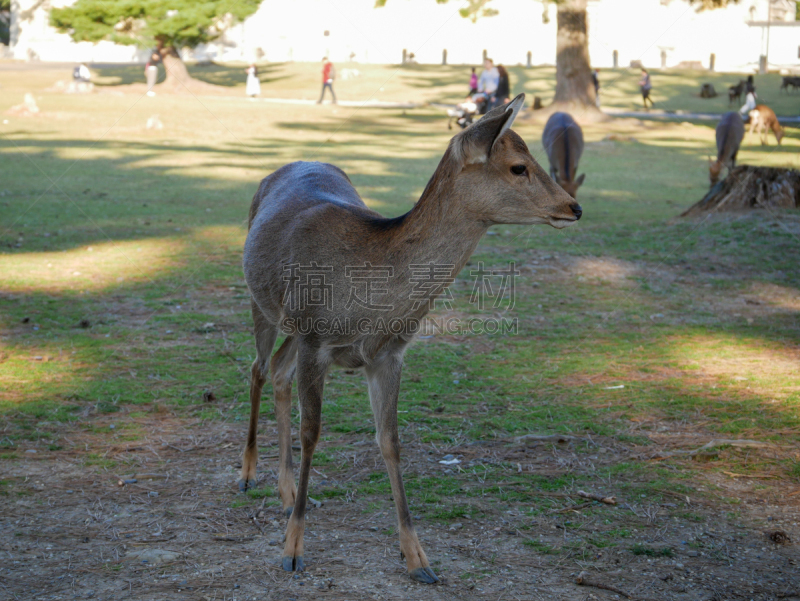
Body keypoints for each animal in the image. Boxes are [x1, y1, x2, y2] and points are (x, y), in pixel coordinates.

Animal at [238, 94, 580, 580]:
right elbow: (313, 432)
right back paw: (248, 475)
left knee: (278, 373)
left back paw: (285, 493)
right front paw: (292, 550)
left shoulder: (388, 355)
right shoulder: (315, 339)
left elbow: (391, 440)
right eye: (518, 167)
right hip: (261, 301)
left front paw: (418, 557)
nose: (574, 207)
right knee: (259, 368)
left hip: (290, 326)